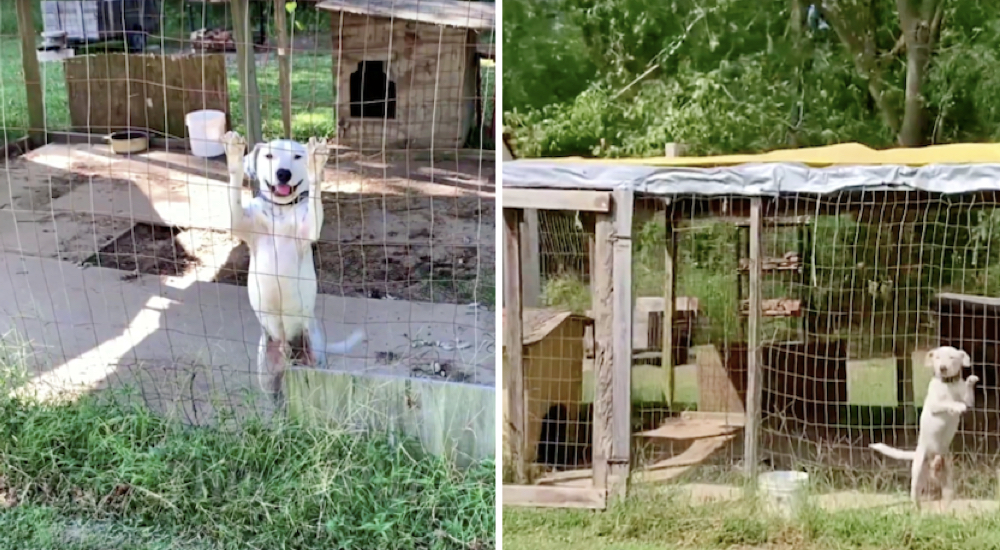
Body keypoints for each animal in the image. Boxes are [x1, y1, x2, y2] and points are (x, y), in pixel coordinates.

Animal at [223, 129, 368, 406]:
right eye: (269, 156)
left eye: (298, 157)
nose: (283, 173)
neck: (280, 211)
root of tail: (287, 349)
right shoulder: (239, 223)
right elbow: (234, 191)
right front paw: (234, 156)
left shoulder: (308, 229)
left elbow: (314, 198)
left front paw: (316, 163)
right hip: (266, 369)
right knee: (274, 396)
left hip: (315, 360)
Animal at [868, 348, 976, 512]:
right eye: (937, 358)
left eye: (952, 357)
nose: (942, 368)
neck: (948, 385)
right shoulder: (935, 405)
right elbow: (947, 403)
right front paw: (956, 406)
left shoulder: (968, 400)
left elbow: (967, 398)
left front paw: (971, 380)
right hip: (918, 474)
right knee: (915, 496)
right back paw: (917, 511)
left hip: (948, 480)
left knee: (946, 498)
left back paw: (944, 512)